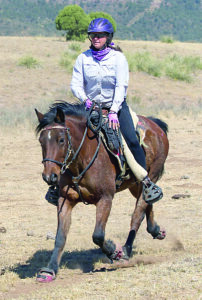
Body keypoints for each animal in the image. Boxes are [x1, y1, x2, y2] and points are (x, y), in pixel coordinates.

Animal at [34, 102, 169, 282]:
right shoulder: (65, 200)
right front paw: (49, 270)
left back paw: (126, 250)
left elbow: (97, 235)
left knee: (137, 213)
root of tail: (156, 125)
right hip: (135, 185)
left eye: (61, 140)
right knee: (148, 203)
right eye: (41, 141)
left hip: (150, 175)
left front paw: (114, 251)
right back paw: (156, 230)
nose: (50, 176)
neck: (82, 159)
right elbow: (60, 237)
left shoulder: (105, 199)